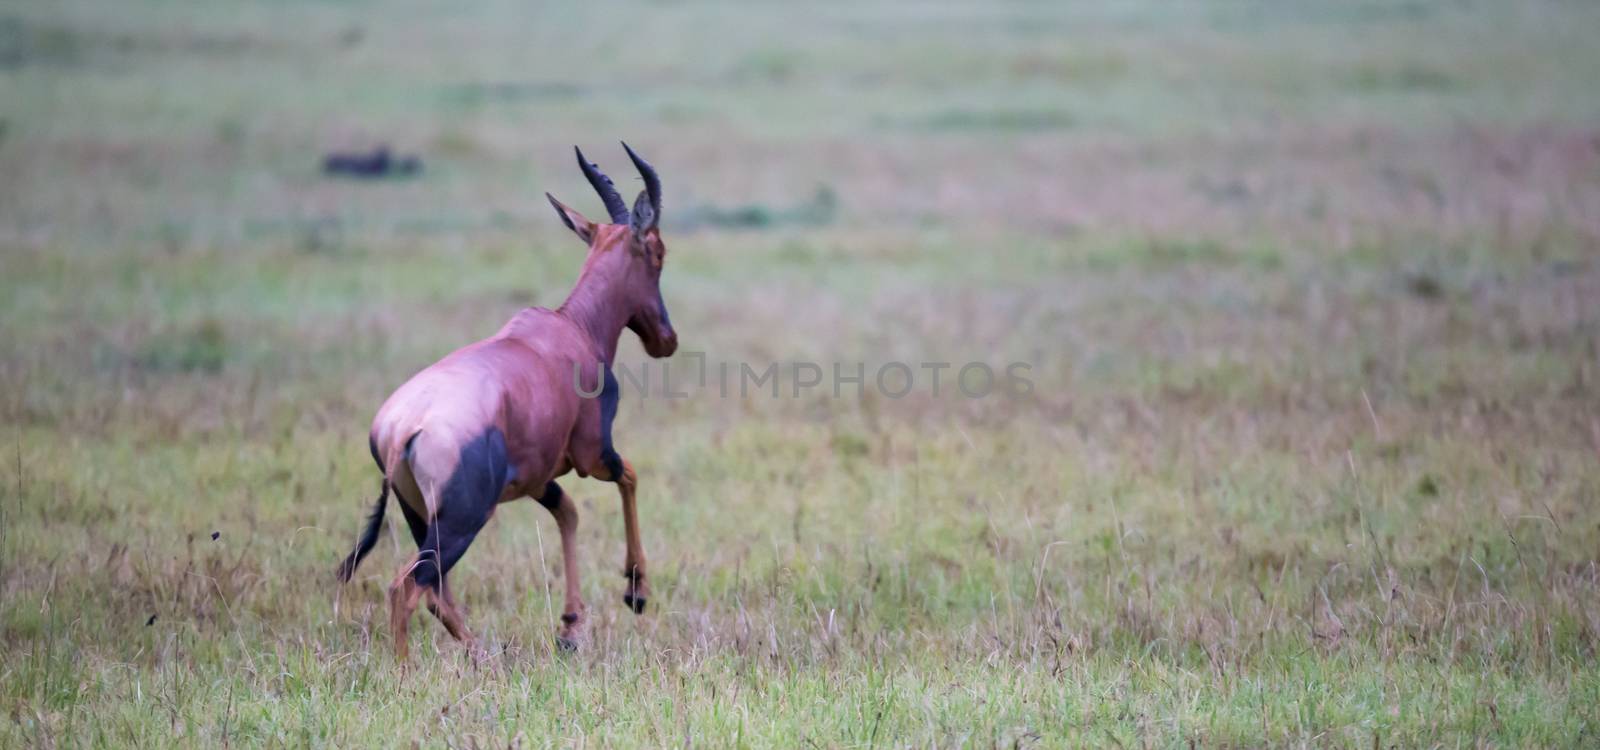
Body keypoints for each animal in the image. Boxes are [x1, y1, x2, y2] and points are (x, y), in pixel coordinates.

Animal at [340, 143, 678, 658]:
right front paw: (635, 591)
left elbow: (568, 513)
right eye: (657, 251)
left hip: (420, 514)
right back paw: (406, 671)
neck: (571, 327)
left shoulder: (538, 476)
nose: (666, 339)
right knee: (409, 587)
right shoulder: (593, 454)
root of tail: (400, 429)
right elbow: (630, 478)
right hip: (463, 520)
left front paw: (570, 628)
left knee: (437, 593)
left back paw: (482, 655)